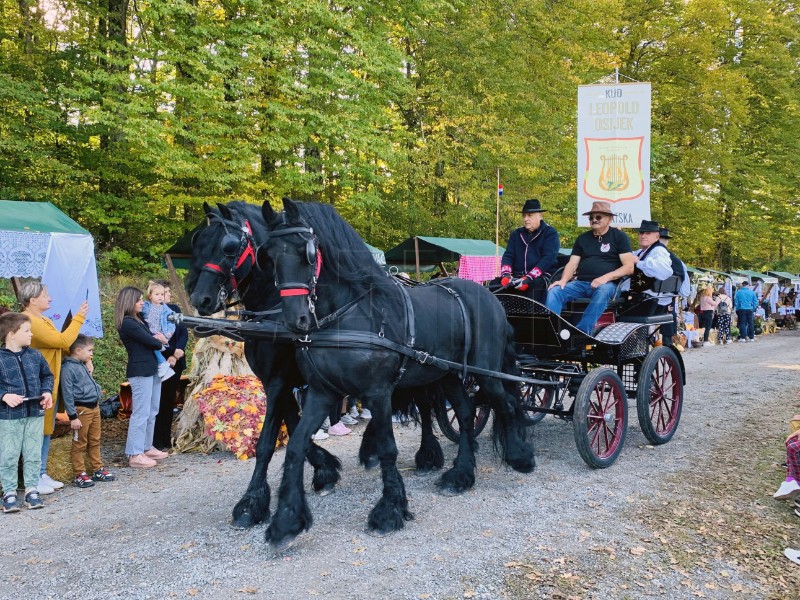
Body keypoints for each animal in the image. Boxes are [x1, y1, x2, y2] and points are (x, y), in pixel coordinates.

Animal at [264, 197, 536, 548]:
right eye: (269, 255)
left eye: (306, 252)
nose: (294, 320)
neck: (348, 316)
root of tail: (491, 296)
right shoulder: (322, 393)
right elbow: (296, 447)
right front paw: (286, 520)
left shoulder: (378, 393)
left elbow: (388, 449)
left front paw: (389, 511)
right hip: (448, 375)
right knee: (465, 414)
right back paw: (460, 475)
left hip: (487, 374)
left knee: (508, 404)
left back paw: (521, 456)